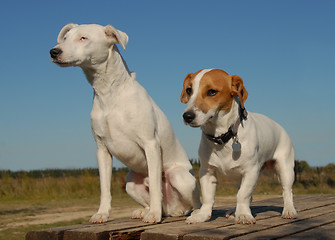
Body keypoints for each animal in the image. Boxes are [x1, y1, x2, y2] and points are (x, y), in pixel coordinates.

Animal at [49, 23, 200, 223]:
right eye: (65, 38)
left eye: (83, 38)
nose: (53, 51)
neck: (109, 92)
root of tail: (174, 208)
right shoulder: (102, 150)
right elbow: (104, 187)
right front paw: (102, 213)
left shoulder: (151, 144)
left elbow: (155, 186)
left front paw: (154, 215)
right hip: (131, 183)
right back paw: (145, 211)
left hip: (180, 178)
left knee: (194, 202)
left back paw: (188, 213)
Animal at [180, 68, 298, 224]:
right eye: (189, 90)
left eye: (212, 92)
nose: (187, 116)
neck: (223, 137)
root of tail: (280, 127)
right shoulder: (207, 172)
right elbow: (208, 198)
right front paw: (202, 215)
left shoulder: (251, 171)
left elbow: (242, 195)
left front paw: (243, 214)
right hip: (238, 178)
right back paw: (232, 211)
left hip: (285, 169)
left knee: (287, 192)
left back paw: (289, 210)